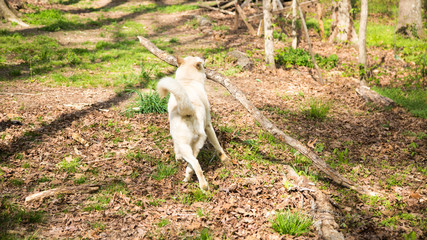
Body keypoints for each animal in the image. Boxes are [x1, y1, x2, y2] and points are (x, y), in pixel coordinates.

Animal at [157, 56, 229, 191]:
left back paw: (201, 185)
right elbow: (217, 144)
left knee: (195, 163)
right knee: (194, 163)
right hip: (195, 143)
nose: (204, 57)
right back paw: (194, 180)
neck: (188, 81)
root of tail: (187, 111)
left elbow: (216, 145)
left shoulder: (207, 126)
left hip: (188, 145)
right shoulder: (208, 126)